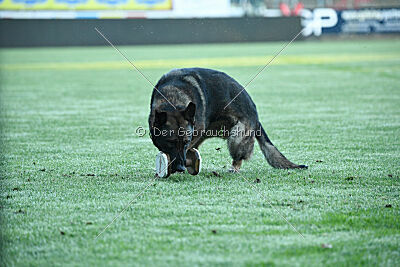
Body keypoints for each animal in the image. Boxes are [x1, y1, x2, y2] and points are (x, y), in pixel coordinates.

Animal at [148, 68, 308, 175]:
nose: (180, 168)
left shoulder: (194, 135)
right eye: (171, 142)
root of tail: (256, 115)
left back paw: (234, 168)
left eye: (185, 142)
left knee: (239, 157)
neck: (173, 98)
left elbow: (189, 149)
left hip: (236, 139)